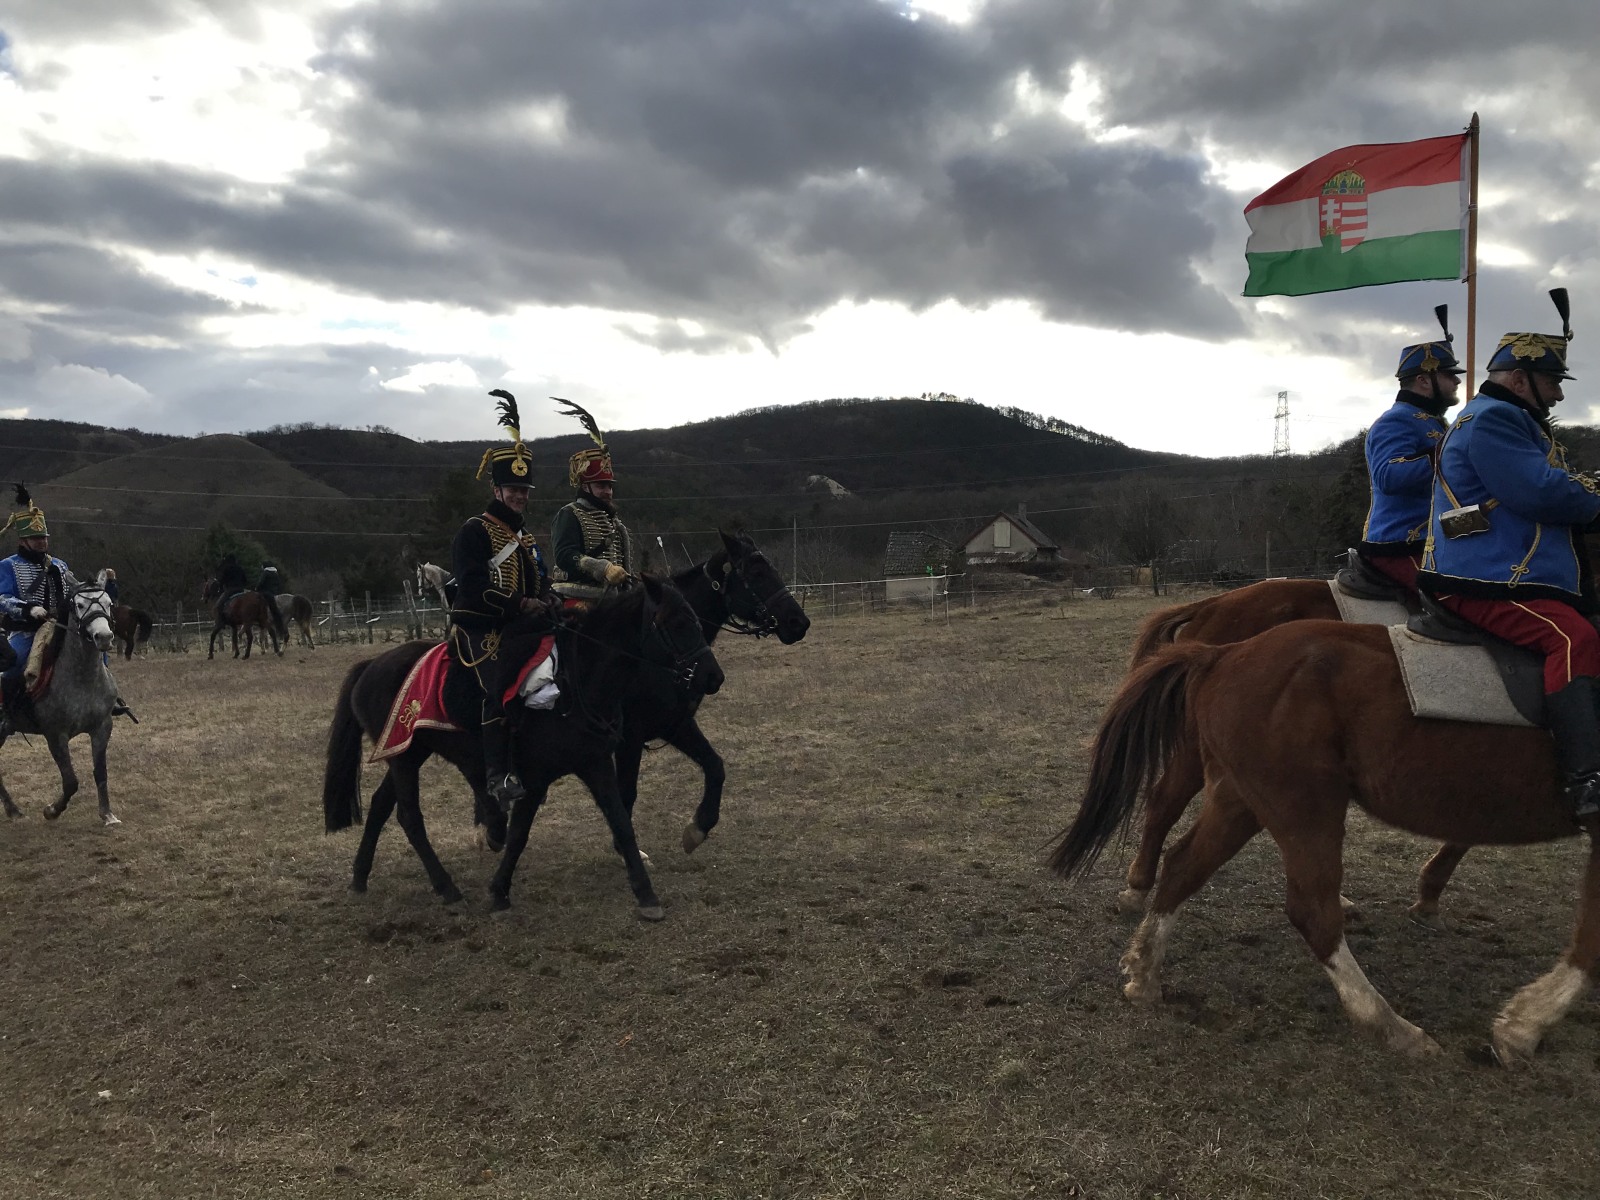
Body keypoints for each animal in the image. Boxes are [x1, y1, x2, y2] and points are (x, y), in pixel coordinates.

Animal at [0, 585, 123, 825]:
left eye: (109, 603)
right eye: (80, 605)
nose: (104, 637)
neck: (82, 679)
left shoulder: (102, 727)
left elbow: (100, 772)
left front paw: (107, 814)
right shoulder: (56, 735)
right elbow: (71, 781)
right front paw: (52, 810)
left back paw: (13, 810)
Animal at [321, 576, 725, 918]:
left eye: (694, 618)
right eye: (677, 623)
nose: (713, 676)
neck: (578, 680)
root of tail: (371, 665)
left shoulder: (594, 762)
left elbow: (621, 822)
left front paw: (646, 894)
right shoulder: (537, 776)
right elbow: (518, 834)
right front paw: (499, 890)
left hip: (407, 752)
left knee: (379, 806)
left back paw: (360, 877)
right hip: (404, 758)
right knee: (410, 817)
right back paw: (447, 888)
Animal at [616, 531, 810, 854]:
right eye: (757, 573)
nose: (799, 622)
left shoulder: (676, 724)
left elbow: (715, 765)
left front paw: (698, 828)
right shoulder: (628, 737)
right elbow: (625, 795)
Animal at [1048, 619, 1598, 1067]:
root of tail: (1225, 653)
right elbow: (1590, 940)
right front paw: (1523, 1028)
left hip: (1241, 799)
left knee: (1184, 865)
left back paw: (1143, 973)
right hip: (1305, 806)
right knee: (1312, 908)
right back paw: (1389, 1025)